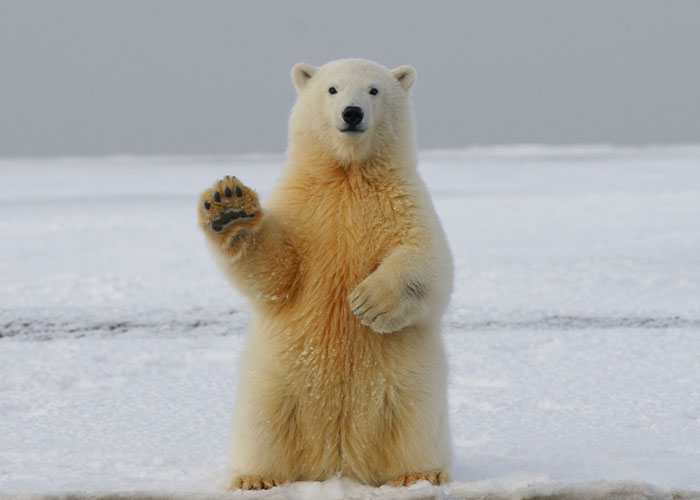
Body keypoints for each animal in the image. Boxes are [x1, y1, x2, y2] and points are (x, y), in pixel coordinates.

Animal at [197, 58, 453, 490]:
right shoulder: (304, 207)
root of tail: (338, 462)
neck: (347, 174)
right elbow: (277, 271)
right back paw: (255, 478)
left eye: (373, 90)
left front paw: (368, 302)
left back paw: (420, 474)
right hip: (274, 384)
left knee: (414, 425)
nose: (352, 113)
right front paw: (229, 207)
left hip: (409, 386)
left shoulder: (404, 202)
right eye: (332, 89)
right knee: (263, 427)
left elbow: (429, 262)